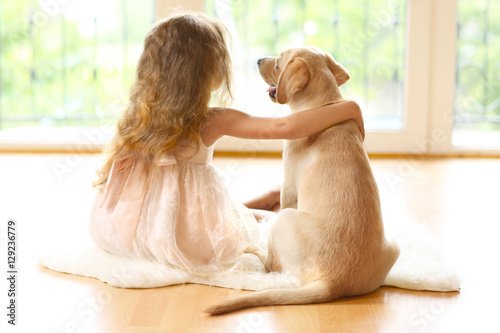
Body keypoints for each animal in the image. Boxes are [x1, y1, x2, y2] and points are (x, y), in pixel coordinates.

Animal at [206, 46, 398, 314]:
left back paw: (253, 247)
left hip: (286, 219)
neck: (322, 105)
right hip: (394, 246)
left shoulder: (288, 188)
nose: (259, 60)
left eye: (278, 65)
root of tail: (333, 283)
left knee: (270, 263)